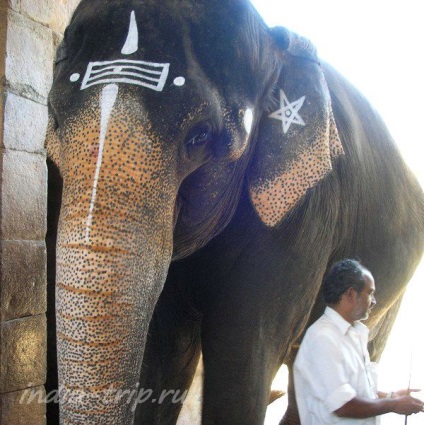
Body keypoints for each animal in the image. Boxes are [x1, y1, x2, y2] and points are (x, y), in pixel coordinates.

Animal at [44, 0, 424, 424]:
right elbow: (165, 352)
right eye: (53, 120)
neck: (272, 46)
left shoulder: (303, 216)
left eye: (199, 136)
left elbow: (239, 363)